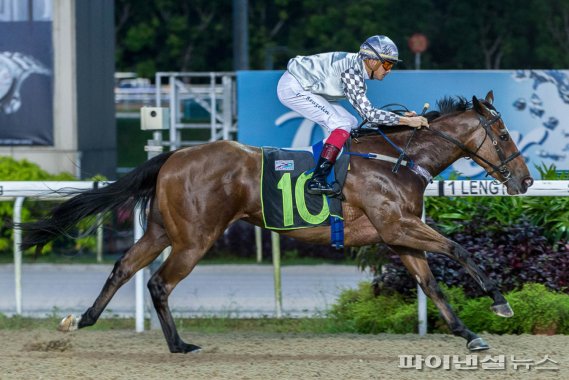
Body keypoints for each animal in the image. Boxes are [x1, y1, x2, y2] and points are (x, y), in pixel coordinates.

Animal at [16, 91, 532, 354]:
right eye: (504, 134)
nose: (525, 180)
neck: (399, 161)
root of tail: (175, 154)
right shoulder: (397, 227)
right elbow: (460, 250)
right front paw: (501, 302)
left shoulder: (399, 235)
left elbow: (432, 284)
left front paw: (469, 334)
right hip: (195, 238)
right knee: (159, 283)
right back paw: (180, 345)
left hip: (165, 230)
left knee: (124, 267)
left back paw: (80, 320)